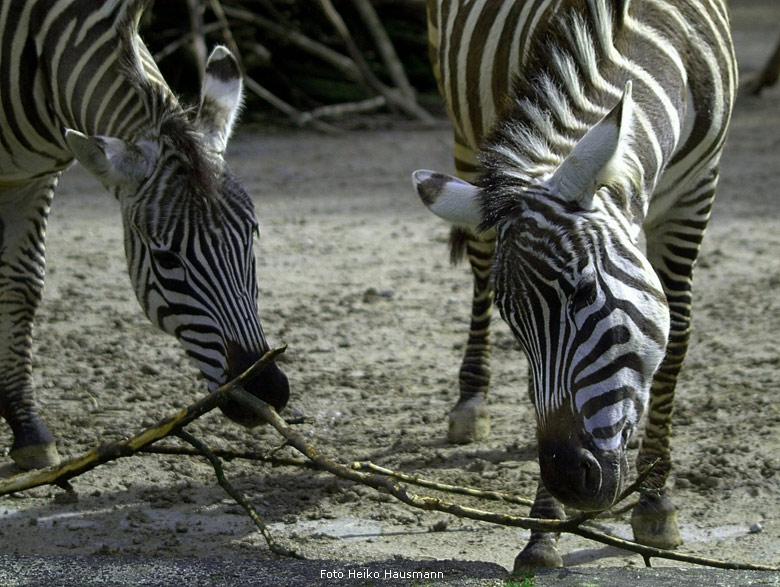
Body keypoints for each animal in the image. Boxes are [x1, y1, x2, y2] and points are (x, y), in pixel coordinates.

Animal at [0, 0, 286, 468]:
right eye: (167, 258)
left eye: (254, 235)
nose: (267, 391)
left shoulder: (34, 178)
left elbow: (21, 286)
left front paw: (28, 431)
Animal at [414, 0, 736, 568]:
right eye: (514, 323)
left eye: (584, 292)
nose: (567, 478)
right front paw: (544, 531)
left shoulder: (697, 193)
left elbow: (675, 339)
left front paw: (655, 502)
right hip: (465, 133)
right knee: (478, 262)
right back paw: (471, 402)